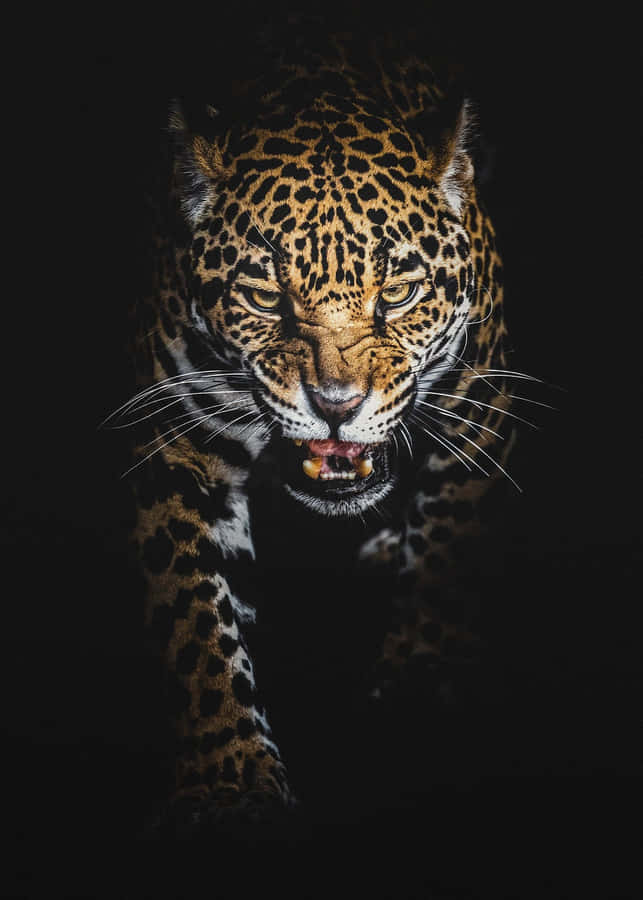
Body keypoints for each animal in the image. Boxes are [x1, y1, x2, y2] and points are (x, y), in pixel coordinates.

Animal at [110, 28, 527, 830]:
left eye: (398, 293)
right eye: (264, 296)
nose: (336, 403)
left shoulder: (479, 395)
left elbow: (449, 539)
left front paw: (420, 685)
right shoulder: (173, 435)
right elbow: (192, 619)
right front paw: (229, 782)